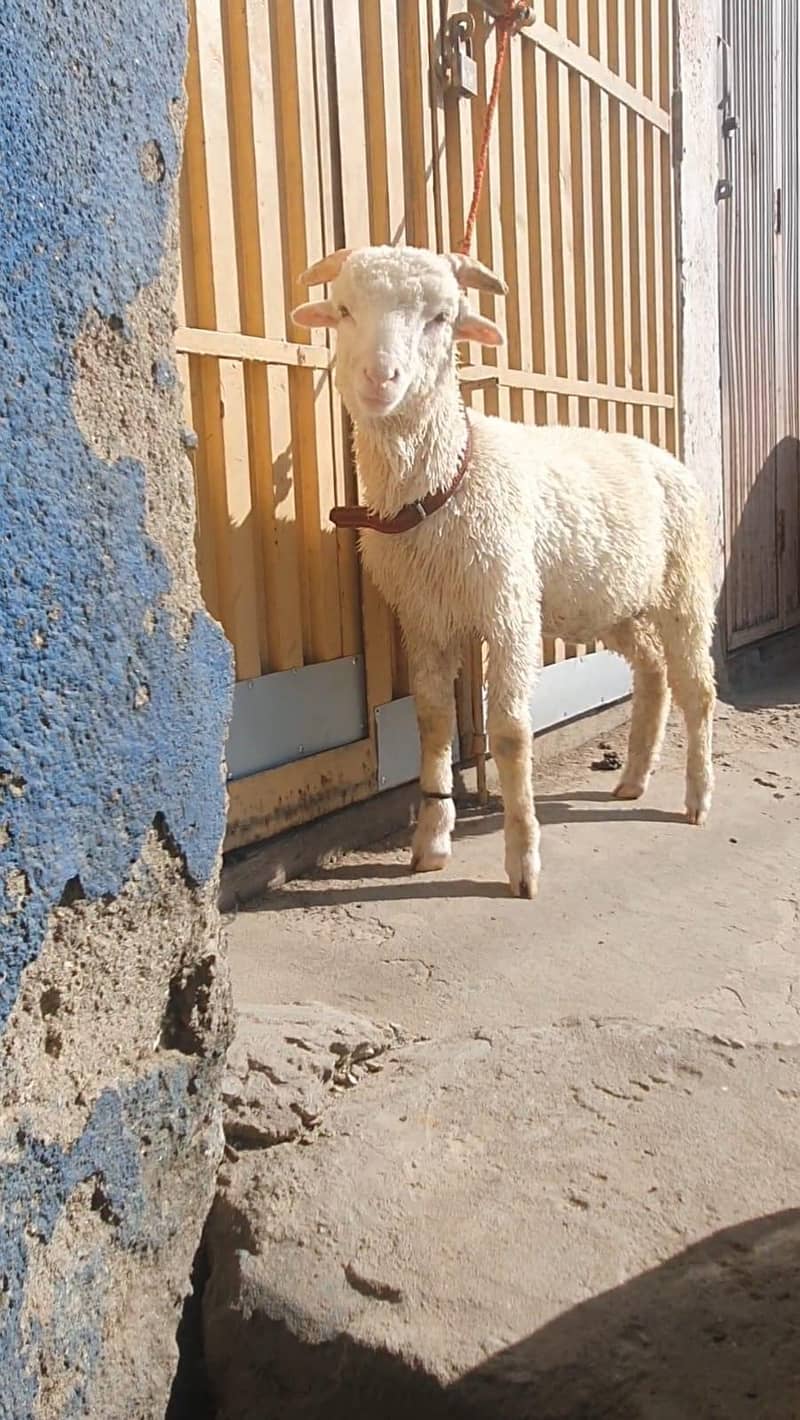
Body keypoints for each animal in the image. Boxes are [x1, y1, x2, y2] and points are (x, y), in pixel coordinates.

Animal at [292, 245, 716, 899]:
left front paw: (524, 862)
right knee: (651, 672)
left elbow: (513, 734)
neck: (444, 484)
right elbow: (432, 722)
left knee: (698, 689)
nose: (380, 379)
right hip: (612, 602)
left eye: (442, 317)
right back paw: (633, 779)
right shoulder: (425, 618)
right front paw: (432, 843)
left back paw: (696, 798)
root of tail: (662, 454)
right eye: (342, 310)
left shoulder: (509, 608)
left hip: (685, 587)